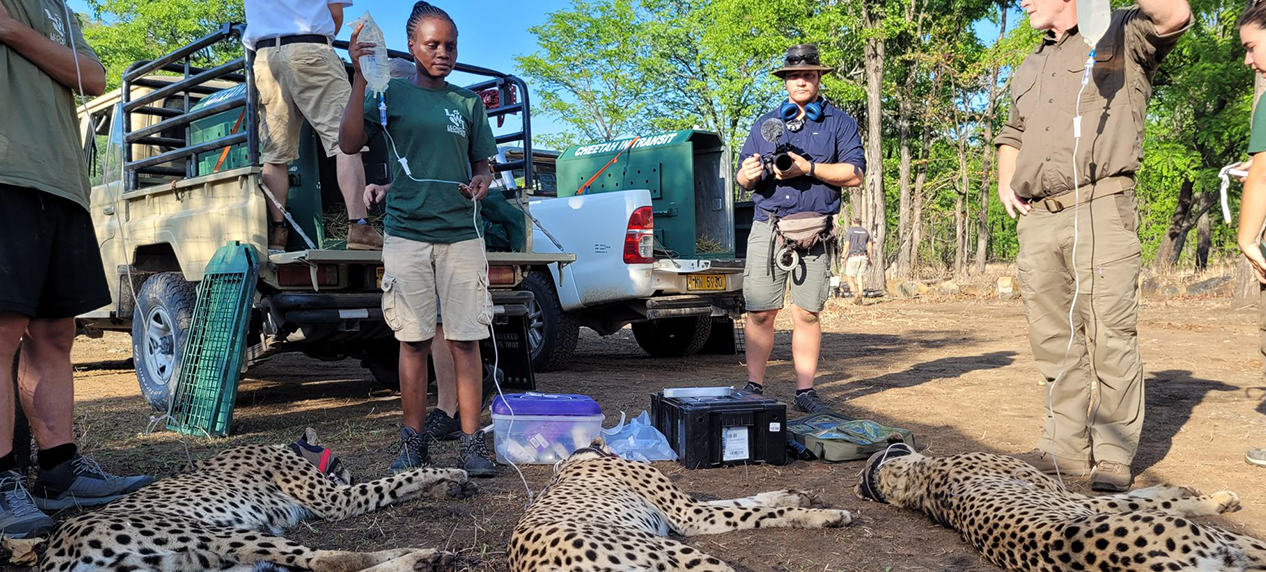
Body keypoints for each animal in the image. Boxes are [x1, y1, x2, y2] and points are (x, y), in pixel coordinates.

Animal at [37, 428, 476, 572]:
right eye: (342, 464)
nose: (348, 472)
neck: (292, 449)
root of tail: (51, 550)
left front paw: (446, 486)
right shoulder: (338, 499)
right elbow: (398, 479)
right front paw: (448, 474)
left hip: (196, 562)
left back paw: (419, 558)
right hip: (211, 533)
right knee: (328, 560)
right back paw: (418, 556)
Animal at [508, 436, 854, 572]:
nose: (597, 440)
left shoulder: (690, 509)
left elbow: (750, 501)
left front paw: (797, 495)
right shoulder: (689, 513)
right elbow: (760, 512)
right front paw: (826, 515)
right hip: (671, 552)